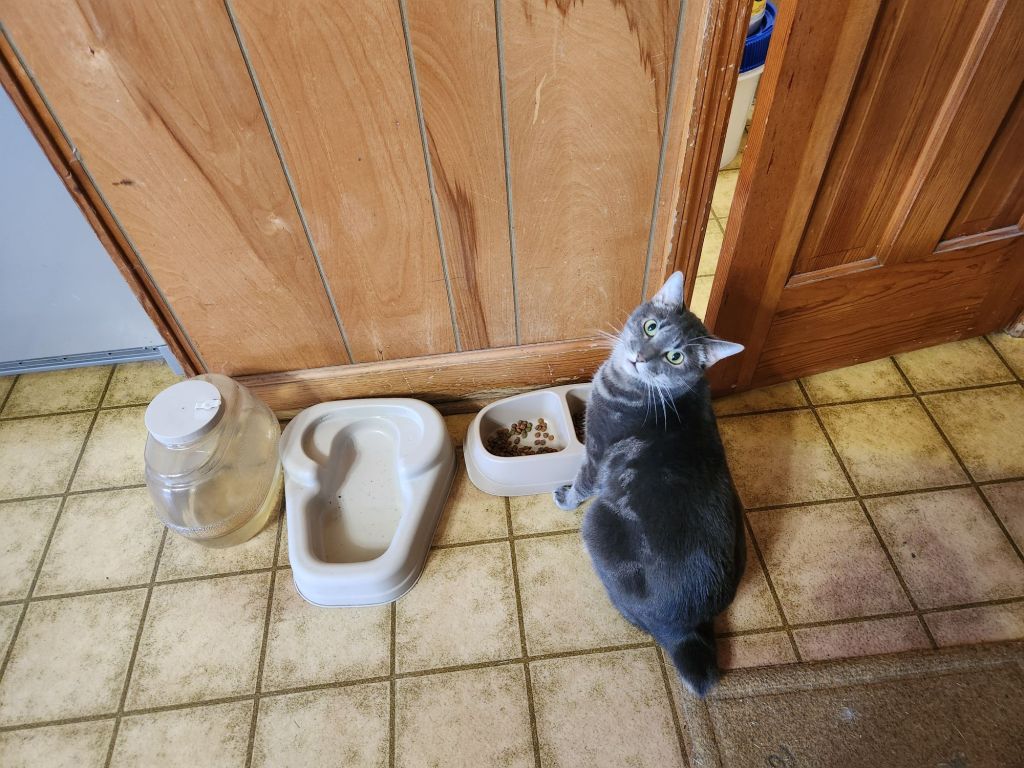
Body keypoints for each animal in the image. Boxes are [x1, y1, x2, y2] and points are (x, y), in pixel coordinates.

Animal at [553, 271, 745, 697]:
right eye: (650, 326)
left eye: (676, 357)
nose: (639, 356)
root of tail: (686, 627)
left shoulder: (596, 450)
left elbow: (583, 482)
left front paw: (566, 496)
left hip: (596, 524)